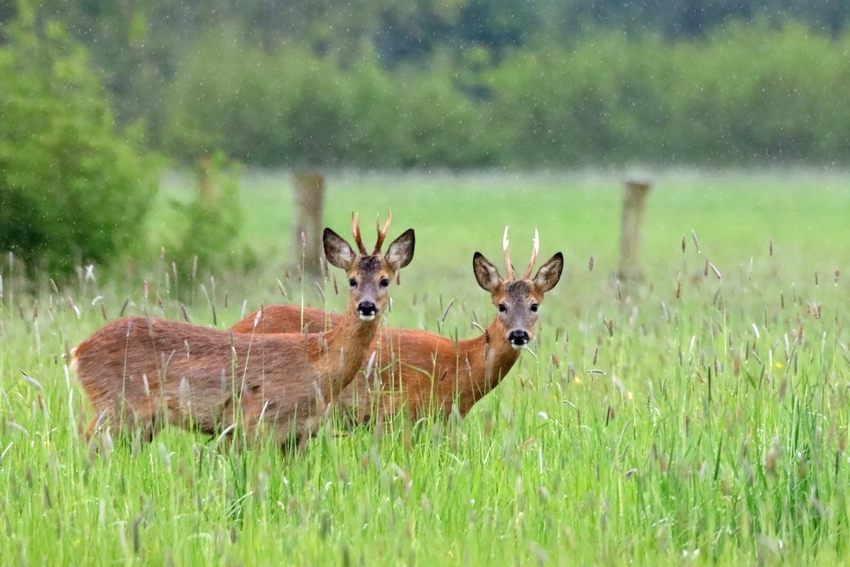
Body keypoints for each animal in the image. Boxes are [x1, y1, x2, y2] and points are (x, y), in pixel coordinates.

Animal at [70, 212, 414, 448]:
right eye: (352, 280)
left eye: (384, 280)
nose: (366, 306)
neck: (319, 362)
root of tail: (77, 351)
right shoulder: (259, 423)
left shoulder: (301, 434)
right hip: (117, 408)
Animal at [230, 229, 564, 424]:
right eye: (501, 305)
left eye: (534, 306)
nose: (519, 334)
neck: (459, 367)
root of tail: (238, 326)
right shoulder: (402, 416)